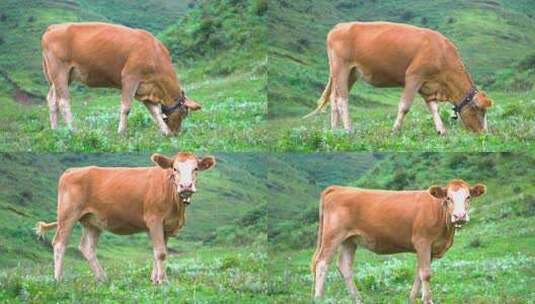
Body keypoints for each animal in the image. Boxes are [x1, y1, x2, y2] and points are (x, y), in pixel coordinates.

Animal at [34, 153, 216, 284]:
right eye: (175, 169)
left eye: (196, 169)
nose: (186, 186)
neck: (176, 206)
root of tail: (72, 170)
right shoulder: (154, 220)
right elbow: (161, 253)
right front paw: (163, 281)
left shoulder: (165, 225)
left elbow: (158, 252)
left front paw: (155, 279)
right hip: (68, 215)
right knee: (59, 244)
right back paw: (58, 279)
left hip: (93, 221)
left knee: (87, 248)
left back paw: (102, 278)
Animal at [41, 23, 201, 137]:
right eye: (184, 113)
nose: (176, 133)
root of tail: (54, 27)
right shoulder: (130, 77)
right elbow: (126, 108)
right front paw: (121, 132)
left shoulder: (145, 88)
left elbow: (155, 112)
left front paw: (164, 131)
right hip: (60, 70)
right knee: (63, 102)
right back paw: (73, 131)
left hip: (61, 76)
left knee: (52, 99)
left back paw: (55, 130)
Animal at [306, 21, 494, 134]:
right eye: (479, 110)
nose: (483, 133)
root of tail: (340, 26)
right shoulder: (414, 76)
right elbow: (405, 106)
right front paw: (395, 130)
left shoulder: (428, 86)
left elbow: (434, 109)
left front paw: (441, 131)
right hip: (341, 66)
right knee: (342, 99)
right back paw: (348, 129)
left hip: (351, 72)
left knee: (334, 97)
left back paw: (334, 129)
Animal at [312, 179, 488, 302]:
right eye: (448, 198)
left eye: (468, 197)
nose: (460, 216)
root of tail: (338, 188)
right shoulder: (422, 242)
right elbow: (426, 274)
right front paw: (427, 299)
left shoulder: (430, 248)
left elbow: (419, 273)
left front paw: (412, 298)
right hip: (333, 235)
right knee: (322, 263)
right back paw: (319, 298)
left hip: (349, 240)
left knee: (345, 266)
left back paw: (357, 298)